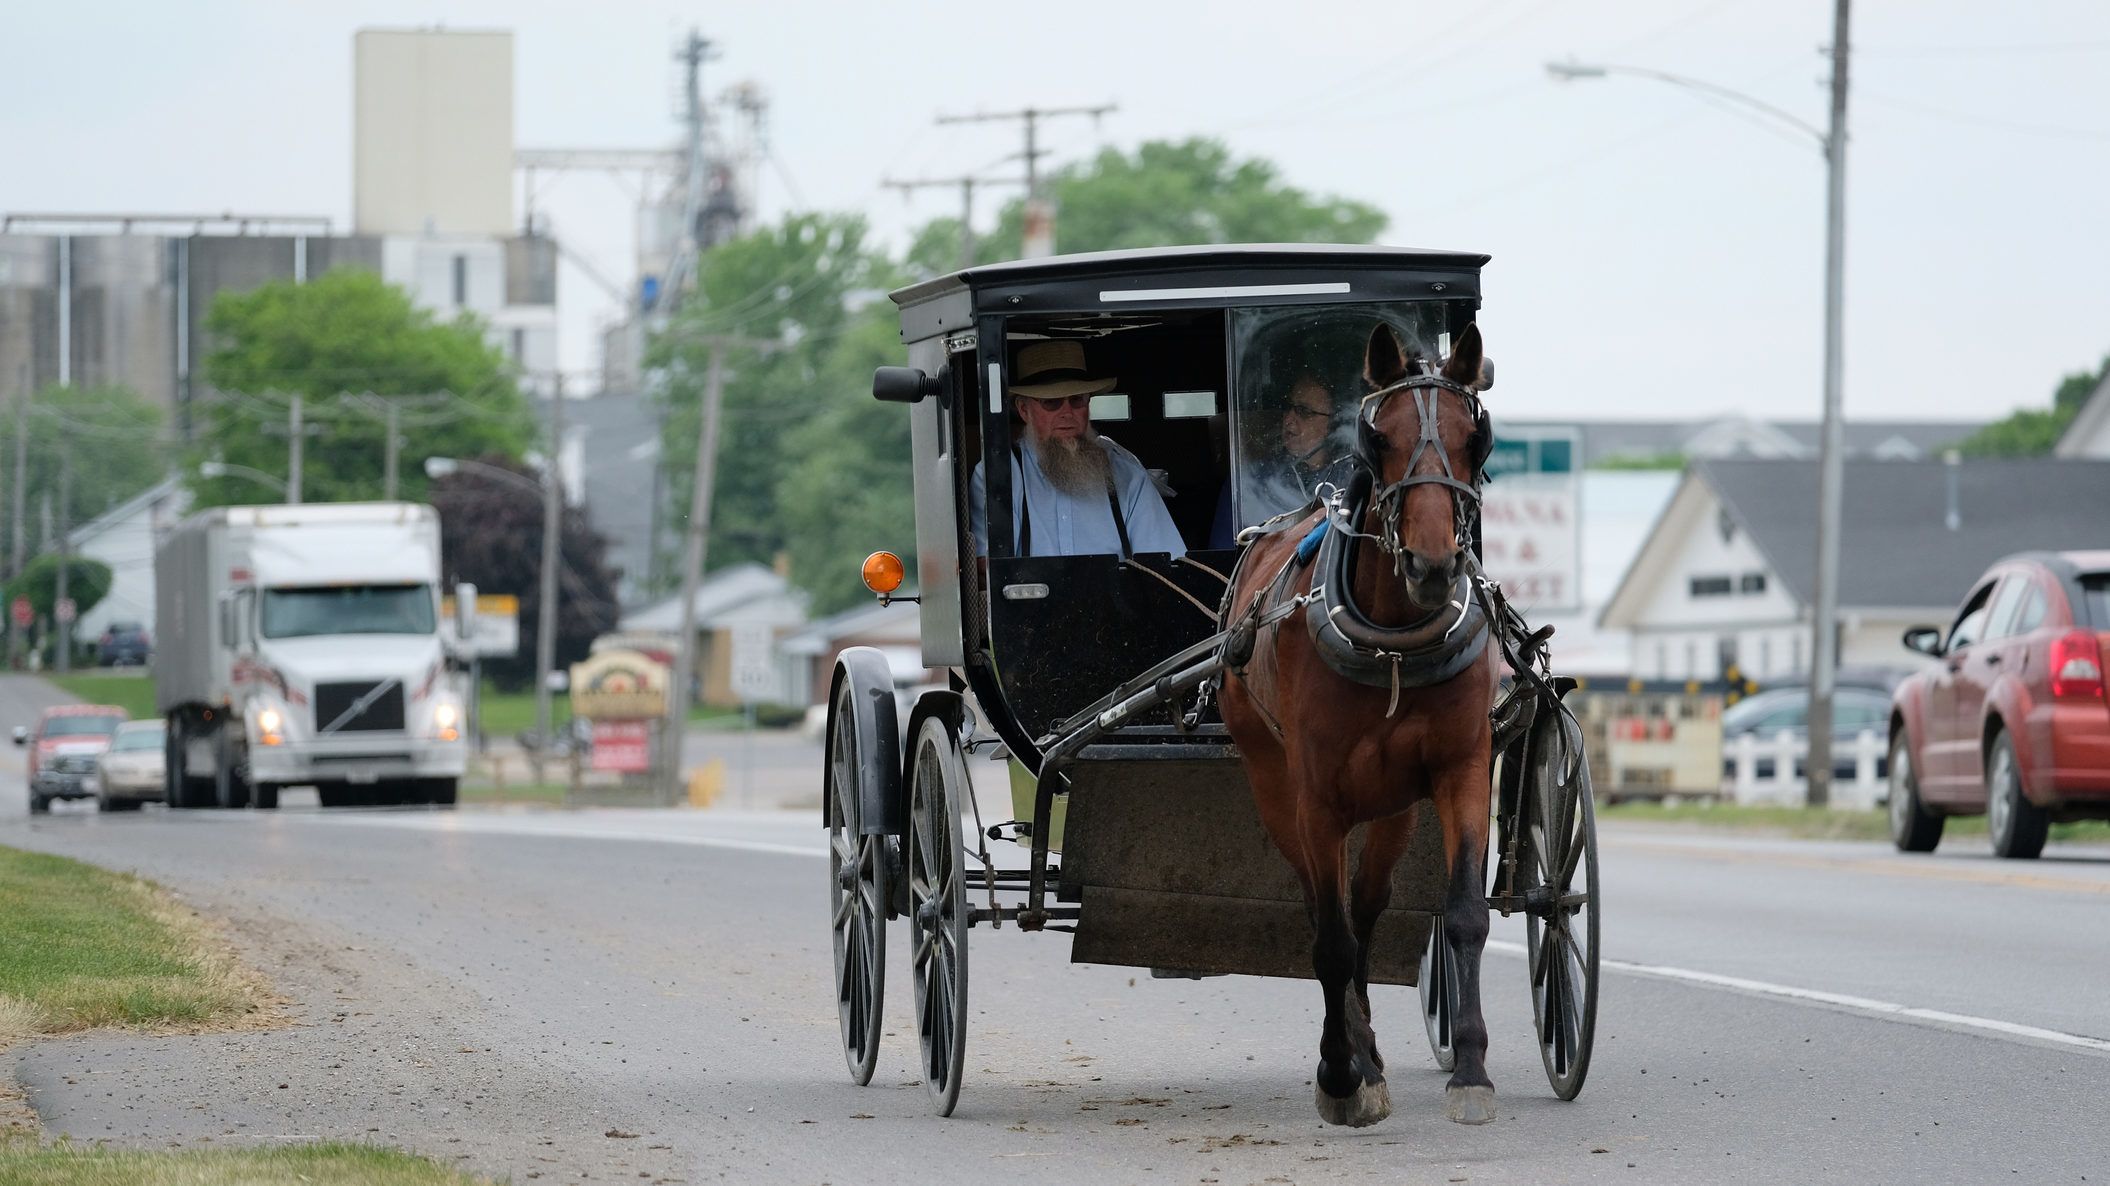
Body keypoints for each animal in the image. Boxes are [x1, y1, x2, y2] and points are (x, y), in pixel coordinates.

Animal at [1223, 318, 1502, 1122]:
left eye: (1477, 438)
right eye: (1379, 438)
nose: (1433, 565)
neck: (1394, 644)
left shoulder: (1462, 767)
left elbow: (1463, 913)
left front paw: (1470, 1070)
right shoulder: (1316, 796)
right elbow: (1331, 941)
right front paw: (1339, 1074)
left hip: (1394, 807)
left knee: (1368, 908)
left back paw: (1371, 1048)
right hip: (1273, 783)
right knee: (1327, 914)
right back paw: (1352, 1057)